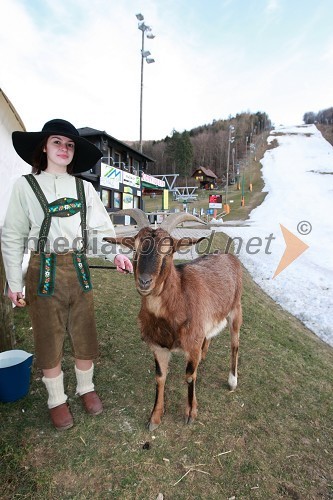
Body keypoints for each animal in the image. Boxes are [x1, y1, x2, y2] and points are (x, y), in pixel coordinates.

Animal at [105, 210, 243, 430]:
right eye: (135, 248)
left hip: (236, 310)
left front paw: (190, 413)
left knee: (235, 344)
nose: (144, 281)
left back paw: (232, 381)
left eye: (168, 250)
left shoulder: (192, 344)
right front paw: (155, 417)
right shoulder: (159, 347)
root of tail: (227, 254)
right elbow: (160, 377)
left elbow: (189, 376)